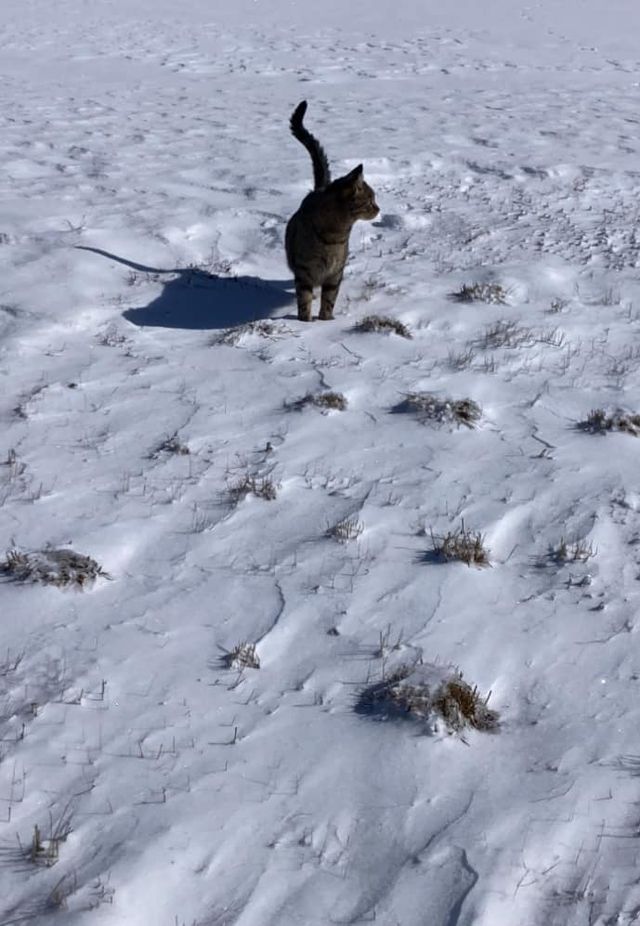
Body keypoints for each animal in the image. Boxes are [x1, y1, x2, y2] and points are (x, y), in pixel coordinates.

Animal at [286, 101, 380, 322]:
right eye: (371, 200)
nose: (379, 208)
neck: (335, 235)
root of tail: (319, 188)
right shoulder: (303, 271)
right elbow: (304, 299)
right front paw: (305, 321)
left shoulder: (335, 273)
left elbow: (329, 298)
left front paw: (326, 320)